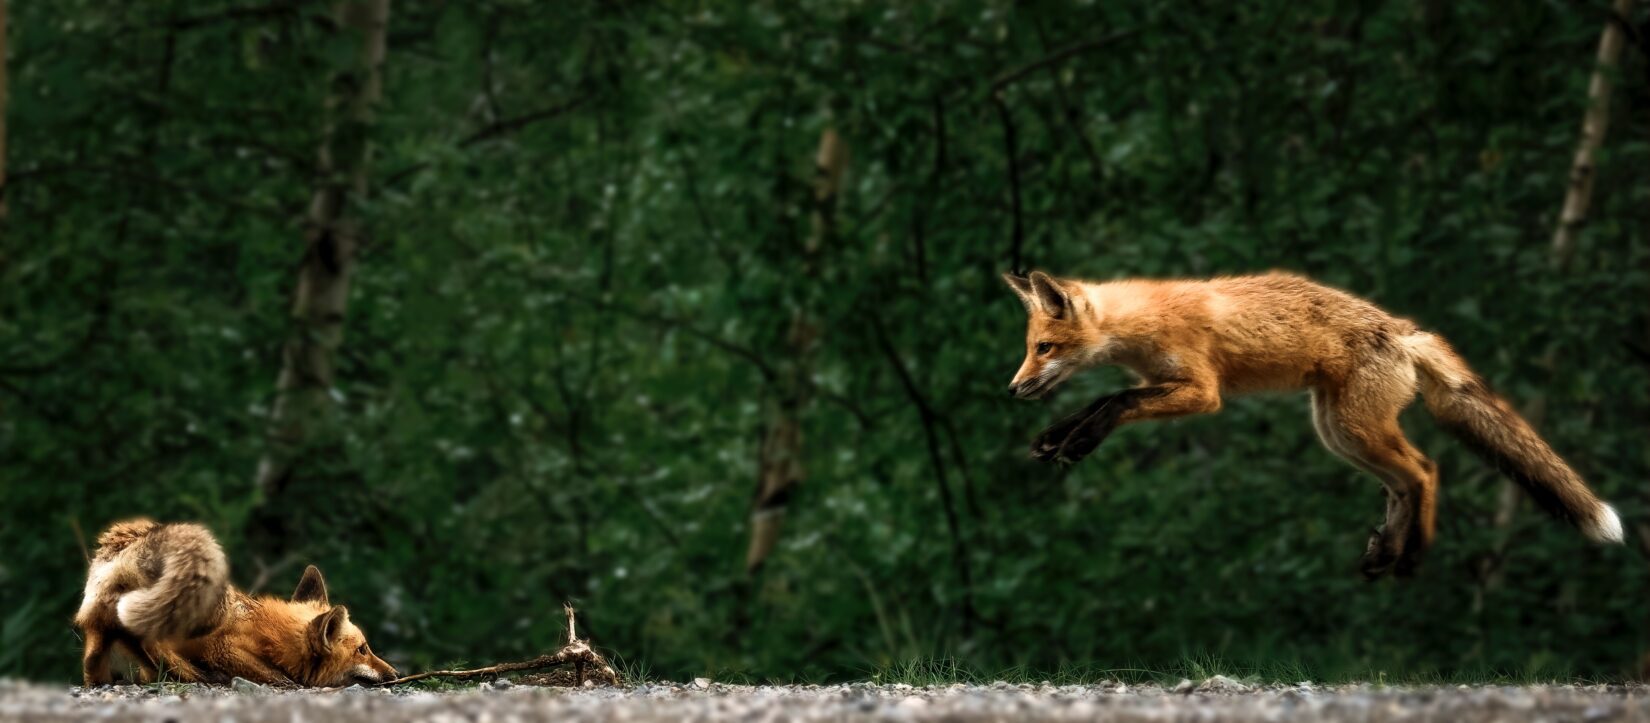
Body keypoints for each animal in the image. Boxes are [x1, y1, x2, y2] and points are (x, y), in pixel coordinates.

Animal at [77, 518, 399, 686]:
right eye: (362, 650)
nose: (397, 674)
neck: (269, 634)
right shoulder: (225, 647)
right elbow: (278, 677)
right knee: (149, 644)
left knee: (96, 658)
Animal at [1003, 270, 1623, 581]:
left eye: (1044, 347)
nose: (1012, 388)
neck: (1144, 321)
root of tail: (1405, 330)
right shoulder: (1166, 382)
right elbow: (1104, 399)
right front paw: (1058, 438)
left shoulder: (1202, 392)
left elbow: (1115, 402)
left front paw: (1079, 440)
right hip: (1340, 433)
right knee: (1403, 482)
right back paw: (1385, 553)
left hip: (1355, 428)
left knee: (1425, 469)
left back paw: (1411, 557)